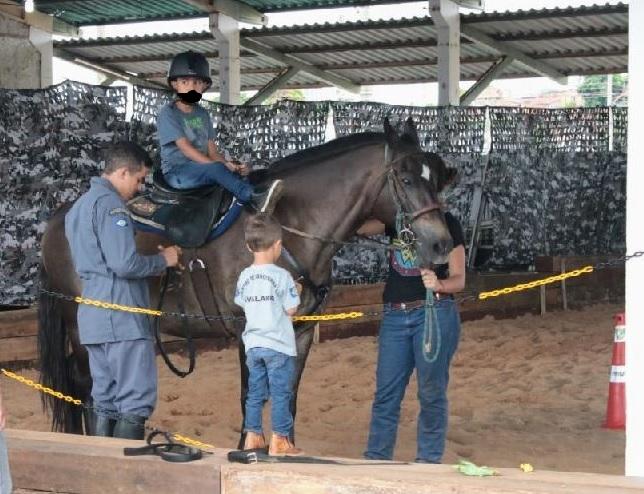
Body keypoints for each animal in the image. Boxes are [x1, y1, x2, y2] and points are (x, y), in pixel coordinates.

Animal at [37, 116, 456, 448]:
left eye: (437, 179)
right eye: (405, 178)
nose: (441, 243)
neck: (284, 227)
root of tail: (59, 216)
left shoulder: (303, 330)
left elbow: (288, 396)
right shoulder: (247, 329)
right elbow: (249, 394)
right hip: (79, 325)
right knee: (88, 386)